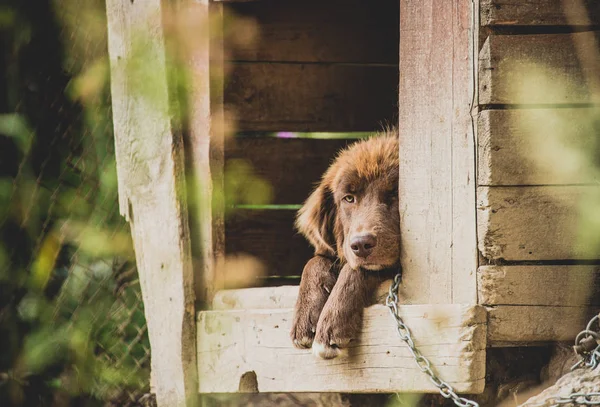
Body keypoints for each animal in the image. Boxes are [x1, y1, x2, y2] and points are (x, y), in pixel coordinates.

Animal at [290, 128, 398, 360]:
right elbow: (315, 260)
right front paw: (305, 314)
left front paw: (331, 321)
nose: (360, 244)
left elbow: (354, 269)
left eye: (395, 194)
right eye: (349, 198)